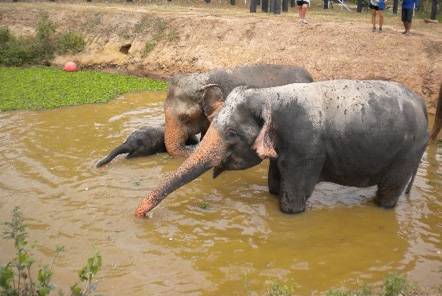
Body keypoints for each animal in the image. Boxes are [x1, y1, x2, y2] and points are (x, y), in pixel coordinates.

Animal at [136, 80, 436, 217]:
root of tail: (422, 103)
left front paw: (291, 210)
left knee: (388, 193)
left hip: (407, 153)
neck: (269, 95)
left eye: (231, 133)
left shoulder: (306, 149)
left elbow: (293, 198)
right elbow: (273, 183)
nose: (142, 214)